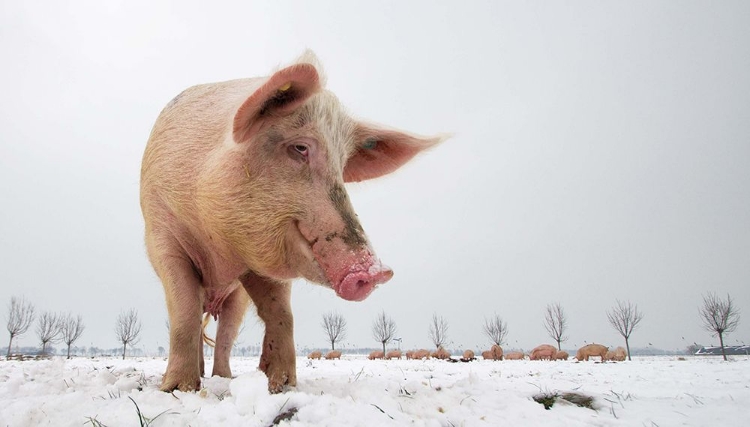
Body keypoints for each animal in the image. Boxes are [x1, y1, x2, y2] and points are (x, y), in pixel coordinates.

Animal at [141, 52, 446, 394]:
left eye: (342, 164)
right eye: (300, 148)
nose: (377, 271)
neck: (219, 247)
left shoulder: (263, 263)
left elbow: (281, 313)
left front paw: (282, 385)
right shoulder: (162, 236)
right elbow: (184, 314)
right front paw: (176, 389)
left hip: (235, 299)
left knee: (226, 336)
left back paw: (225, 377)